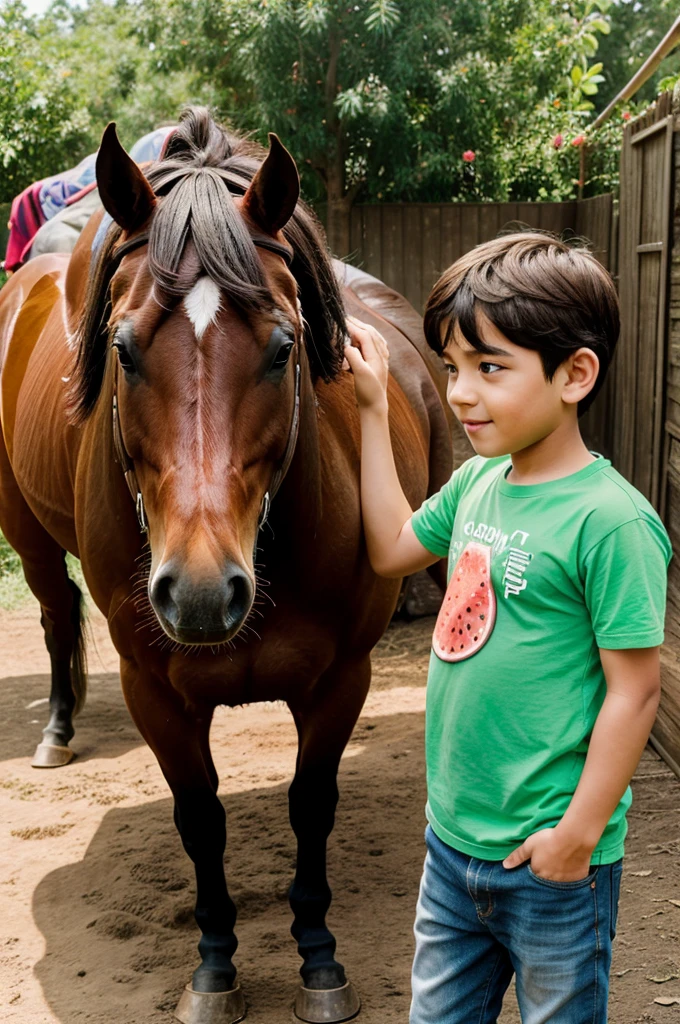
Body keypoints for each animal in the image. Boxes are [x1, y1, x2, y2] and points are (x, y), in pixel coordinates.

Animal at [0, 108, 450, 1019]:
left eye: (283, 348)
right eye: (123, 349)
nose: (203, 594)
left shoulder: (343, 676)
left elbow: (311, 804)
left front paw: (319, 961)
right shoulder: (153, 688)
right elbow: (200, 817)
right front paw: (213, 968)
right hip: (23, 531)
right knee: (56, 614)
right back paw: (57, 731)